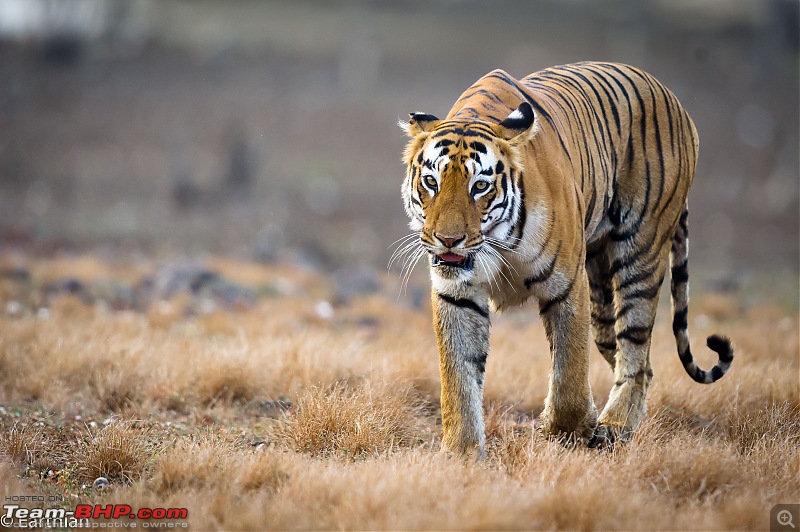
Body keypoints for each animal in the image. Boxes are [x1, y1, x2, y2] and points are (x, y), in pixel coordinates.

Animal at [396, 62, 736, 458]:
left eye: (480, 186)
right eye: (431, 182)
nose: (449, 239)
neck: (495, 242)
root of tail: (672, 98)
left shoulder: (566, 284)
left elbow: (569, 367)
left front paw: (567, 432)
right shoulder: (457, 293)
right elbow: (458, 374)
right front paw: (461, 452)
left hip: (642, 252)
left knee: (636, 349)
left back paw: (614, 426)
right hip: (602, 295)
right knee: (640, 361)